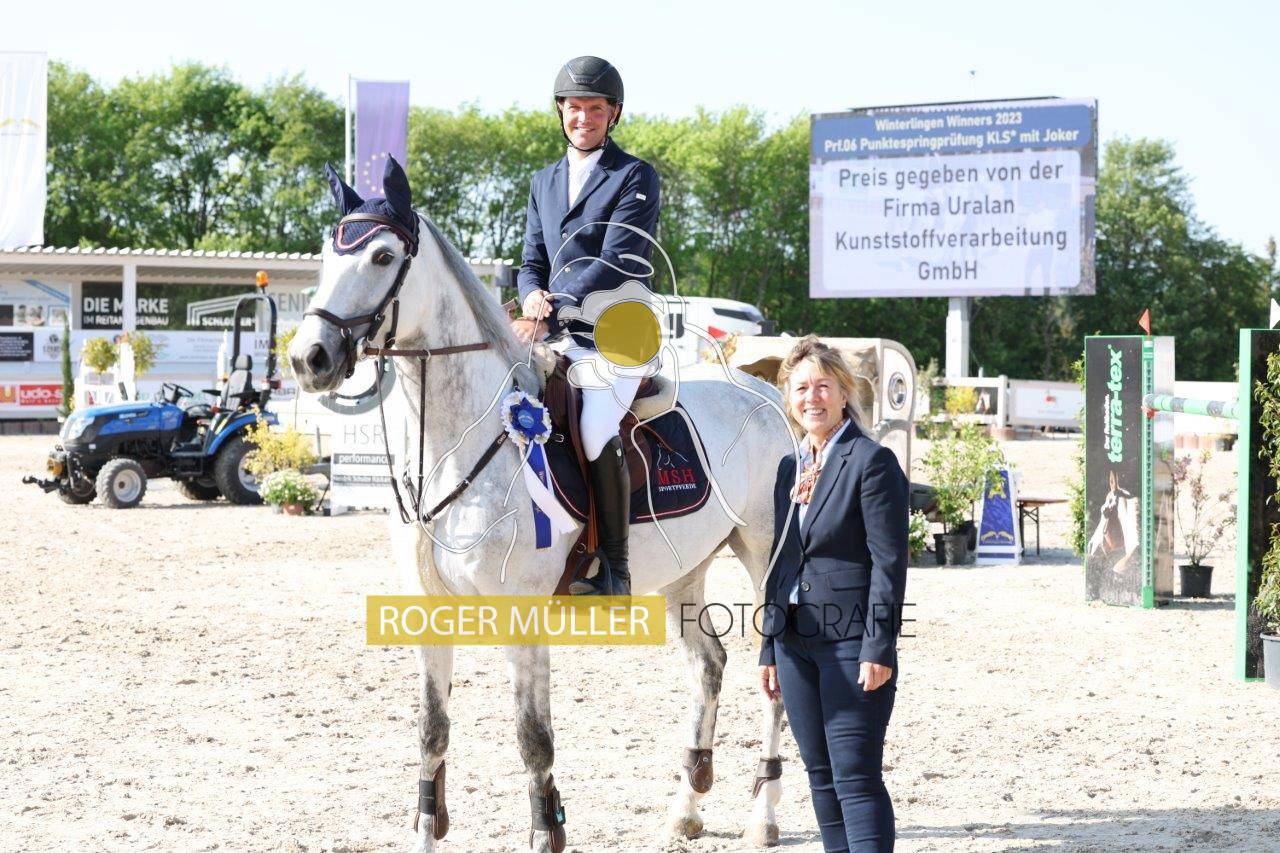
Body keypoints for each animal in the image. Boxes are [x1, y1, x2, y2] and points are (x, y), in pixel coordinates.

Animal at [290, 159, 797, 852]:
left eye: (383, 255)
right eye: (323, 257)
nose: (308, 358)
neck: (459, 437)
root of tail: (763, 391)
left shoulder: (522, 619)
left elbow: (534, 743)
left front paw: (544, 831)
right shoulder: (428, 614)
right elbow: (431, 734)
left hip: (765, 555)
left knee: (773, 674)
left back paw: (764, 815)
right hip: (685, 570)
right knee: (708, 665)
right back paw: (686, 807)